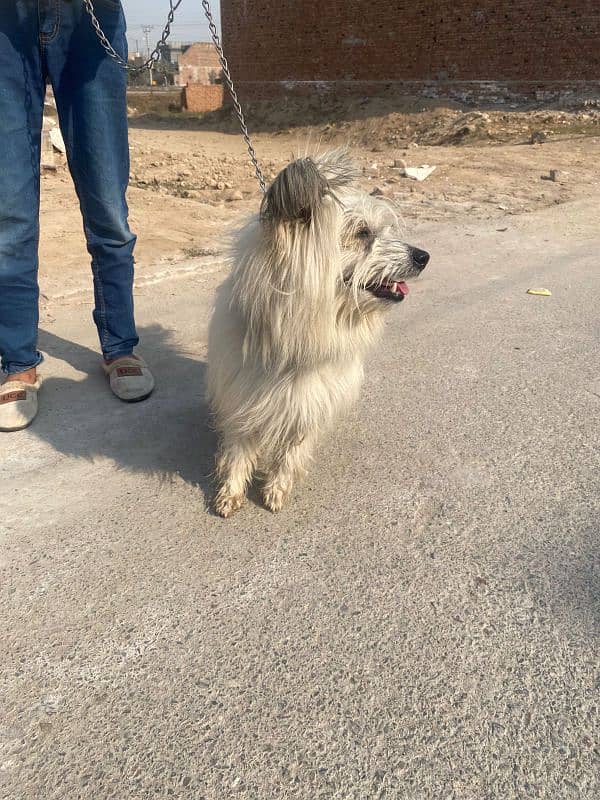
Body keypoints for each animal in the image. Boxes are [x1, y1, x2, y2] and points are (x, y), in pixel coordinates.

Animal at [209, 150, 428, 516]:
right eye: (362, 232)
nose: (423, 256)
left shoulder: (311, 398)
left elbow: (293, 448)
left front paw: (277, 487)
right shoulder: (242, 393)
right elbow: (239, 448)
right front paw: (231, 490)